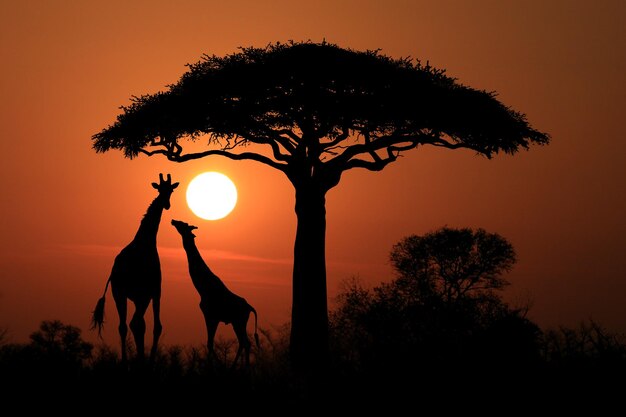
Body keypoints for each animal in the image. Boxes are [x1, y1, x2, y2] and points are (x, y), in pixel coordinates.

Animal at [90, 171, 178, 360]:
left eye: (171, 190)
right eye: (160, 189)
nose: (166, 204)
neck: (146, 242)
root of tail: (114, 271)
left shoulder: (147, 294)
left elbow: (149, 326)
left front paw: (144, 358)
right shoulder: (152, 292)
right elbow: (149, 325)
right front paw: (147, 360)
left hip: (129, 296)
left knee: (130, 324)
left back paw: (131, 360)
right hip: (130, 294)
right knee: (130, 324)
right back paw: (133, 361)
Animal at [171, 218, 258, 368]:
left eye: (183, 224)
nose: (173, 220)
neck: (203, 288)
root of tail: (249, 307)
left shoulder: (210, 316)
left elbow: (210, 343)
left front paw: (214, 366)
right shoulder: (212, 317)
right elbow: (210, 343)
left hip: (239, 321)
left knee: (245, 342)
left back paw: (239, 368)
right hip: (237, 322)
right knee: (245, 342)